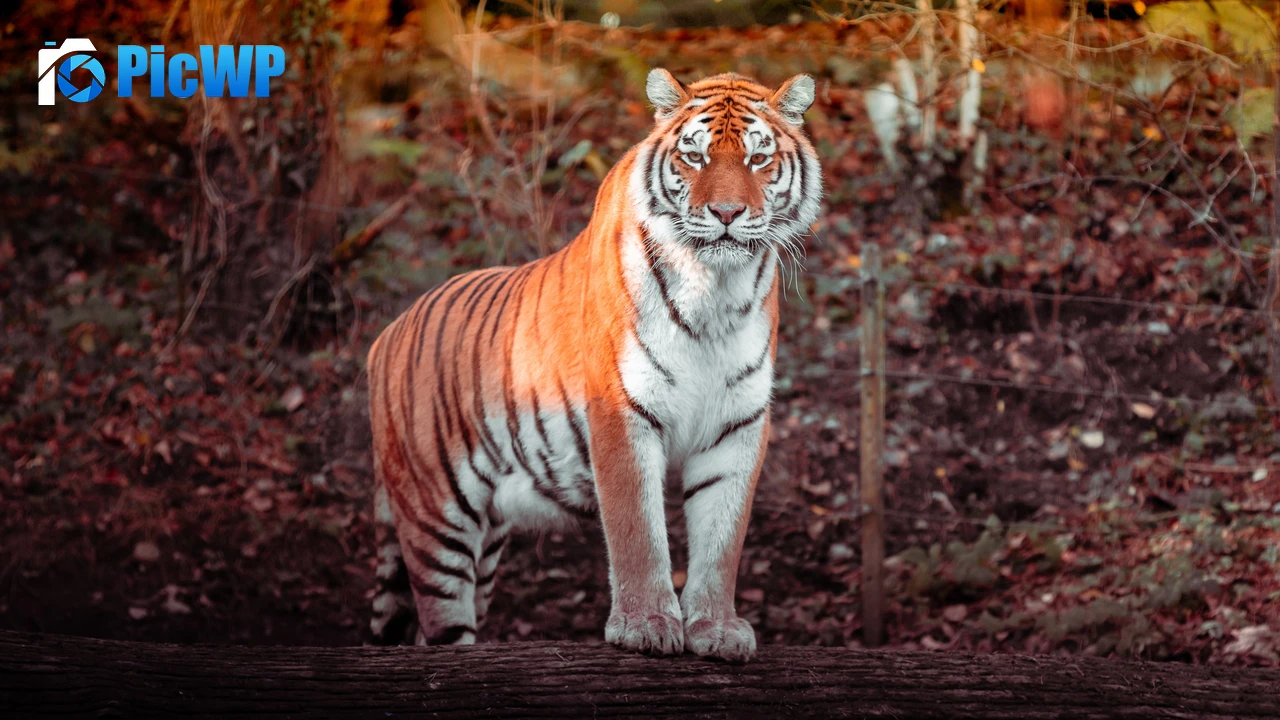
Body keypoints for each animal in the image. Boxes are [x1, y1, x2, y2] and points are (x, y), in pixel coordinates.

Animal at [366, 69, 822, 661]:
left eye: (757, 158)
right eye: (694, 157)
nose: (726, 214)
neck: (715, 293)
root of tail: (386, 334)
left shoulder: (737, 425)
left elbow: (722, 540)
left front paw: (717, 629)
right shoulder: (621, 411)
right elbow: (638, 532)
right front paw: (646, 625)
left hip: (486, 542)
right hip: (435, 519)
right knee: (437, 626)